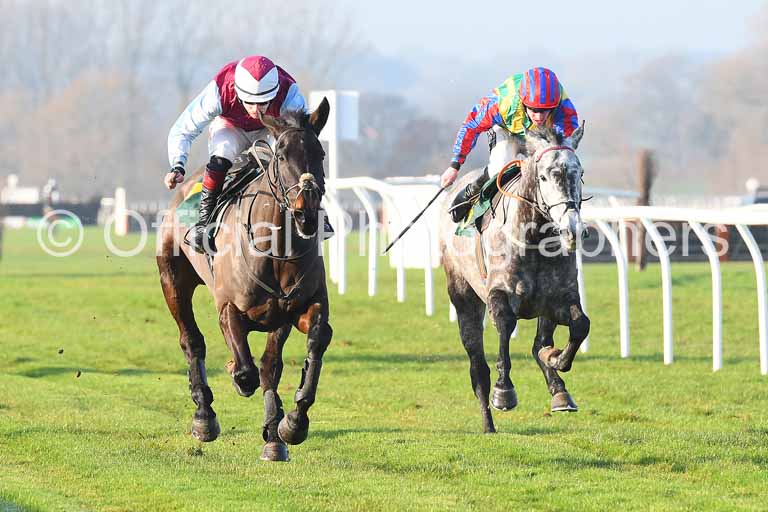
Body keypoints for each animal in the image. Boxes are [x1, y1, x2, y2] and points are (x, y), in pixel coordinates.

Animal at [158, 99, 332, 460]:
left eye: (320, 153)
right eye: (281, 156)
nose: (306, 211)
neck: (276, 250)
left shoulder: (295, 309)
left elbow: (297, 352)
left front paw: (288, 427)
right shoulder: (229, 310)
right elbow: (247, 372)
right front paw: (234, 377)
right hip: (173, 281)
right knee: (191, 341)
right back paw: (204, 417)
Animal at [438, 124, 588, 432]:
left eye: (579, 172)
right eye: (544, 176)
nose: (572, 230)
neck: (533, 238)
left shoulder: (559, 298)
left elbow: (580, 325)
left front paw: (556, 360)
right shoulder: (499, 294)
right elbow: (505, 328)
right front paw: (504, 391)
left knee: (540, 342)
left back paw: (558, 387)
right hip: (463, 296)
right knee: (477, 365)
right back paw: (488, 423)